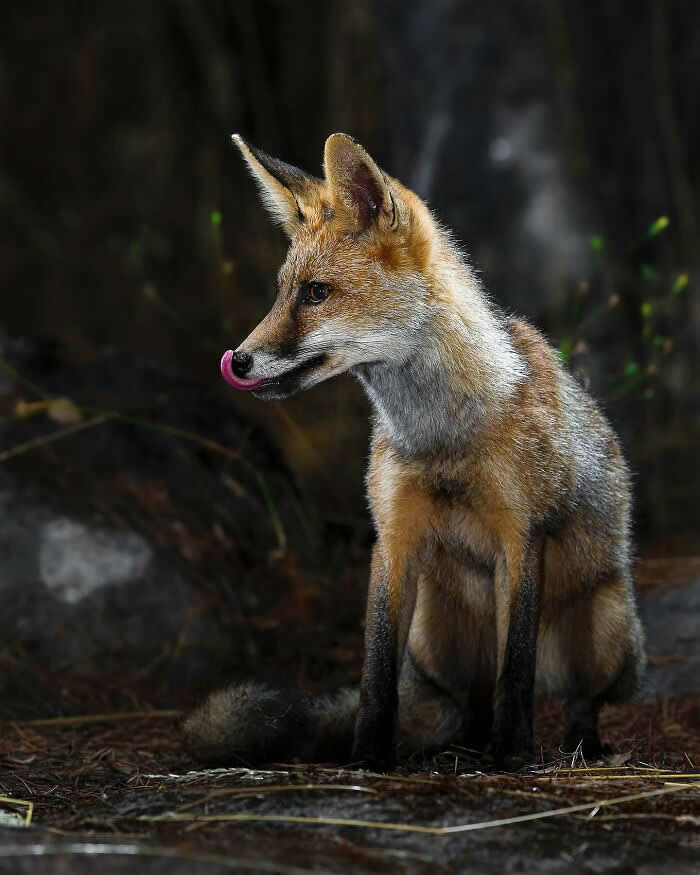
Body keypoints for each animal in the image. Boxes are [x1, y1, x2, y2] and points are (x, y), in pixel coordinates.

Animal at [182, 133, 645, 770]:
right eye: (280, 294)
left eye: (316, 293)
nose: (239, 360)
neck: (442, 436)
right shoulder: (393, 538)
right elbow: (376, 676)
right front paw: (368, 757)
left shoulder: (521, 537)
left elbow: (517, 670)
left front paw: (514, 753)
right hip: (435, 638)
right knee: (464, 706)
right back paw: (459, 746)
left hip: (608, 633)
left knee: (572, 699)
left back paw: (580, 746)